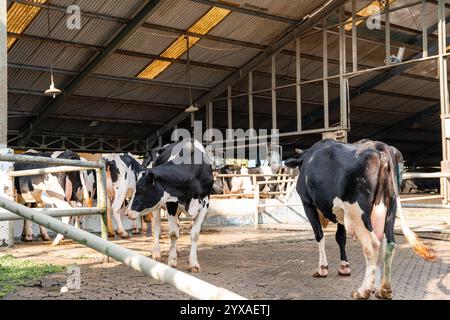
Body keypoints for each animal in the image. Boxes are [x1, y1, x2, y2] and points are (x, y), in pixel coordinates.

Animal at [127, 139, 214, 272]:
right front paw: (172, 261)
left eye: (140, 188)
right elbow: (173, 233)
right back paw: (157, 253)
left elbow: (194, 234)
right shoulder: (171, 202)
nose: (127, 212)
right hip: (157, 209)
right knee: (157, 228)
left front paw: (193, 263)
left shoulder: (205, 203)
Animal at [284, 139, 436, 298]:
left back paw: (363, 290)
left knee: (372, 244)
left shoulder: (307, 203)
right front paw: (344, 267)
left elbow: (319, 235)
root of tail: (378, 145)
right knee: (389, 243)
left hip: (357, 213)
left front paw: (322, 269)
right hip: (390, 209)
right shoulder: (341, 212)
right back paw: (384, 290)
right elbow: (340, 237)